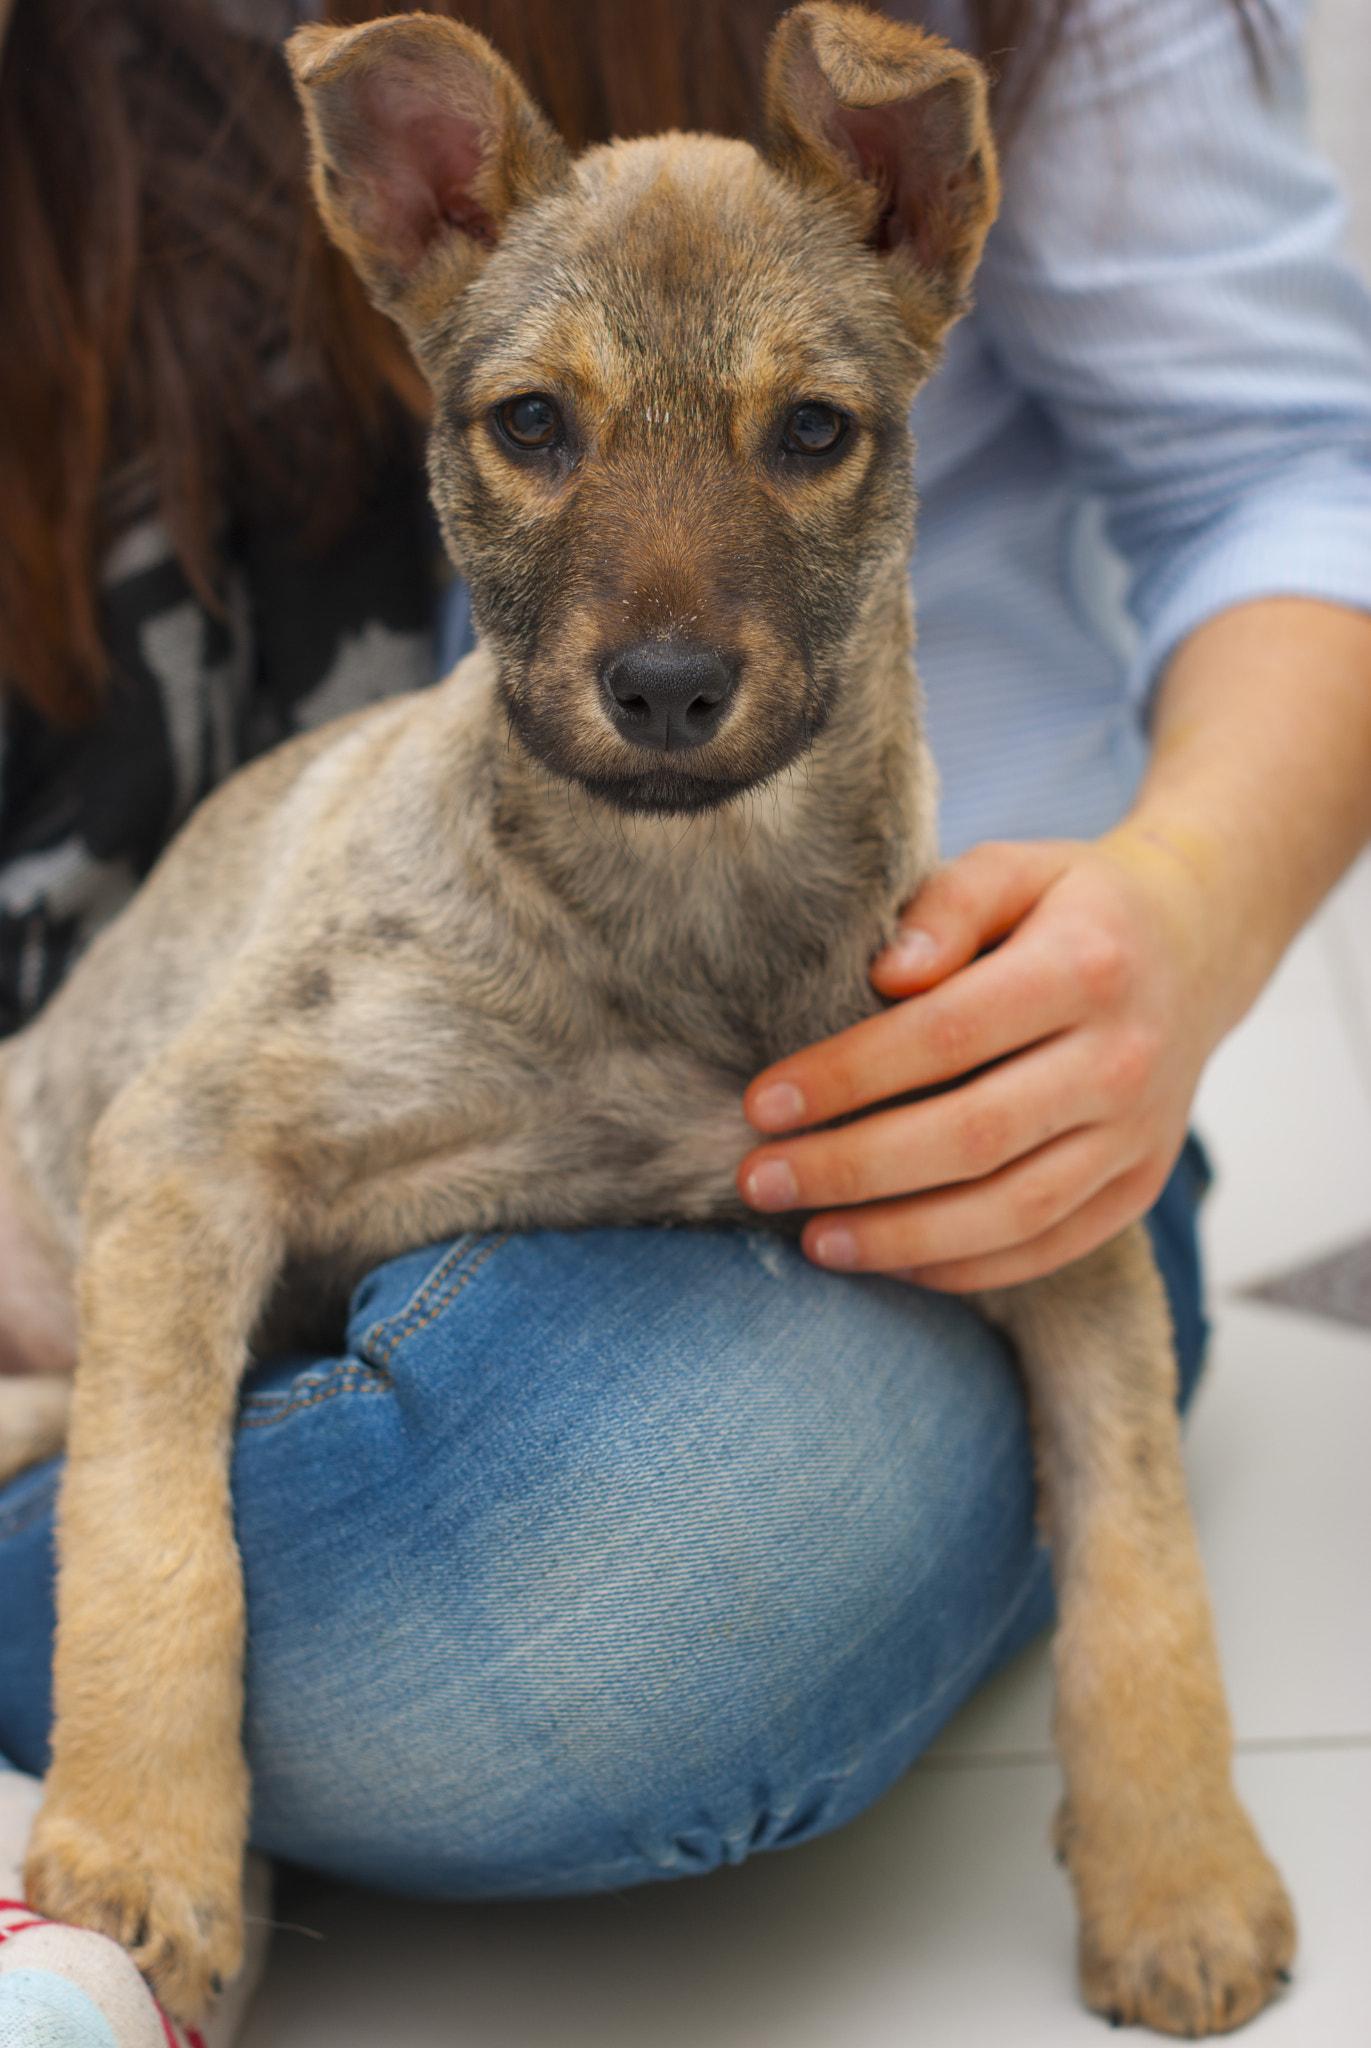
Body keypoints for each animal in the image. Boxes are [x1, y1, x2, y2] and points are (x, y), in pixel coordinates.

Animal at [0, 4, 1295, 2031]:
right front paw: (142, 1853)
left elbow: (1140, 1557)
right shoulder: (189, 1145)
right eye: (533, 424)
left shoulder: (1054, 1228)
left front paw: (1178, 1874)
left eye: (812, 433)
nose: (671, 689)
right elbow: (155, 1536)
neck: (670, 908)